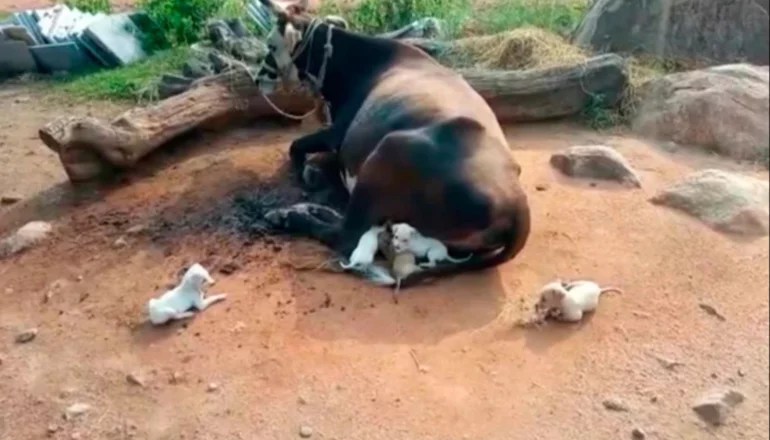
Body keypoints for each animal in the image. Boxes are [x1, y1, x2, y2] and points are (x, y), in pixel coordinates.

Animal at [256, 0, 531, 289]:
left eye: (270, 46)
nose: (258, 79)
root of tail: (517, 204)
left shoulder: (336, 134)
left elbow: (296, 146)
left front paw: (307, 174)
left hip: (388, 150)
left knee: (346, 234)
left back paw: (287, 216)